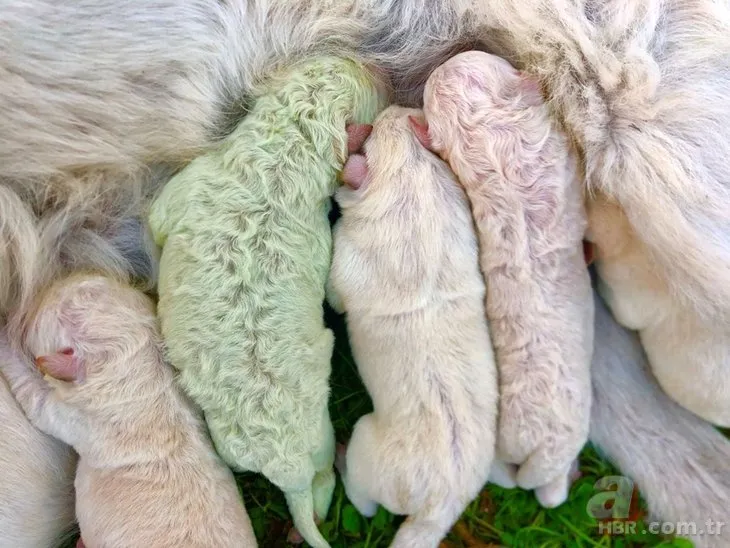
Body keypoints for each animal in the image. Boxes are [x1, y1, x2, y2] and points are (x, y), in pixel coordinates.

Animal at [1, 274, 258, 548]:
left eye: (50, 311)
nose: (59, 281)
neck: (146, 373)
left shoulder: (74, 416)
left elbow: (33, 396)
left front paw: (4, 336)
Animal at [148, 56, 386, 548]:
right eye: (329, 61)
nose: (378, 68)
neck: (286, 149)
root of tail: (286, 463)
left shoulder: (184, 188)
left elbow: (156, 221)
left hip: (276, 438)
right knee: (318, 481)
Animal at [330, 104, 500, 548]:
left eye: (373, 134)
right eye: (409, 116)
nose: (393, 109)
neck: (413, 186)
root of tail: (441, 506)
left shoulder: (345, 259)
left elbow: (335, 294)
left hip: (369, 452)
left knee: (361, 497)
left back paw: (339, 457)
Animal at [412, 50, 596, 506]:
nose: (443, 62)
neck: (497, 159)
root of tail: (529, 454)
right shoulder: (562, 159)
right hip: (562, 442)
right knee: (552, 490)